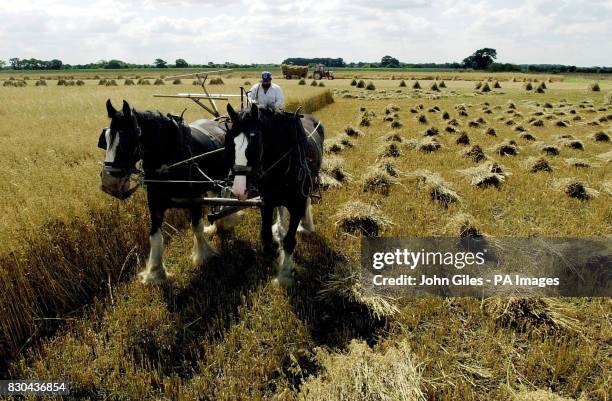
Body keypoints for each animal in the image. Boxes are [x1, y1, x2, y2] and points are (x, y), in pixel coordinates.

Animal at [98, 98, 237, 282]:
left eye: (127, 138)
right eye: (105, 139)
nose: (109, 182)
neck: (170, 157)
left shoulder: (195, 199)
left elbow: (196, 227)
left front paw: (203, 256)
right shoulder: (155, 203)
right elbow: (155, 236)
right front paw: (155, 272)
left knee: (225, 194)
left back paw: (225, 220)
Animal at [225, 103, 326, 284]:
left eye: (254, 144)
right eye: (229, 142)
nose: (238, 189)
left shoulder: (297, 205)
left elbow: (289, 241)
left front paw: (284, 273)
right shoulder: (267, 202)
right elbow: (265, 234)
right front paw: (268, 257)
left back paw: (306, 225)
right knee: (281, 208)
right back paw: (279, 227)